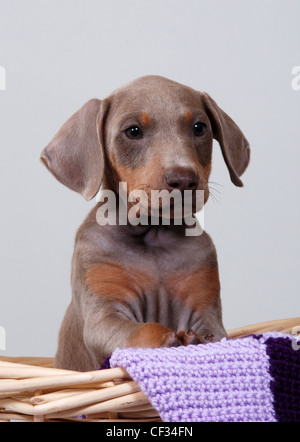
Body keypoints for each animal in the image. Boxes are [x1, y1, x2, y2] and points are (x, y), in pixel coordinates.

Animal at [41, 75, 250, 370]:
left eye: (199, 128)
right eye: (133, 131)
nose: (184, 179)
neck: (155, 232)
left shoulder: (206, 311)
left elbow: (215, 335)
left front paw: (196, 340)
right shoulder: (104, 315)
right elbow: (144, 328)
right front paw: (169, 339)